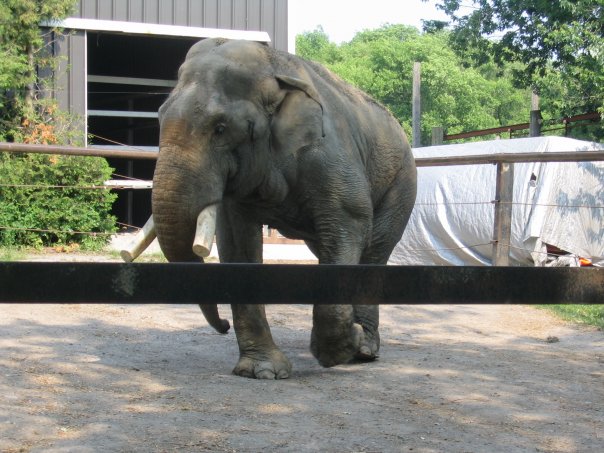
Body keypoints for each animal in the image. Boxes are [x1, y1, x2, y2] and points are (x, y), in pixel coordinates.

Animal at [151, 38, 416, 378]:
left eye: (220, 128)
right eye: (159, 118)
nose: (222, 326)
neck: (273, 70)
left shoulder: (328, 153)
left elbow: (351, 219)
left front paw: (340, 349)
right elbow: (236, 241)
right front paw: (262, 371)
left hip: (402, 182)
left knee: (374, 249)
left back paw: (365, 349)